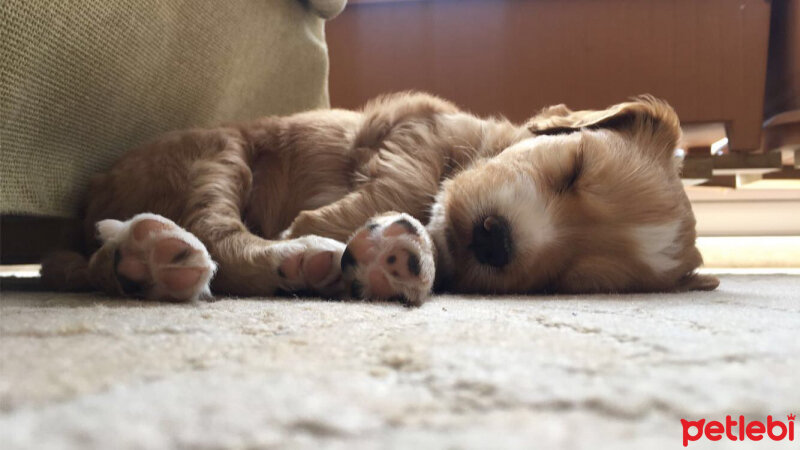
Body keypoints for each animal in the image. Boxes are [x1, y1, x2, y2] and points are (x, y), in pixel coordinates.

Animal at [42, 92, 720, 304]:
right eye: (573, 170)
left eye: (571, 280)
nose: (495, 238)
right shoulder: (416, 125)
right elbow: (411, 175)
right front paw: (325, 224)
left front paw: (397, 254)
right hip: (215, 153)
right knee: (213, 228)